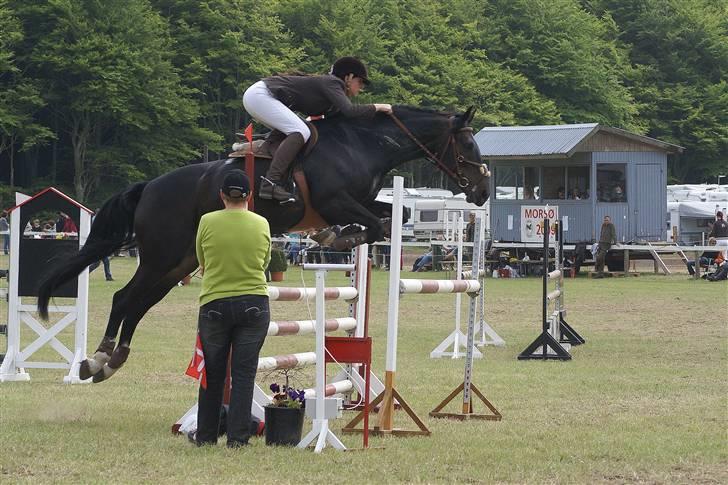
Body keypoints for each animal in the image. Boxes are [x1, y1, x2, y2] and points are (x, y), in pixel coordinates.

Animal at [34, 105, 490, 382]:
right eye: (467, 143)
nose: (484, 190)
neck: (364, 145)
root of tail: (149, 187)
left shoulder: (358, 200)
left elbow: (392, 213)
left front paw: (333, 236)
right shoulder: (335, 200)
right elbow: (376, 225)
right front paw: (341, 236)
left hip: (178, 263)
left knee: (138, 303)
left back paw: (110, 361)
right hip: (161, 257)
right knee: (125, 299)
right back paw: (97, 359)